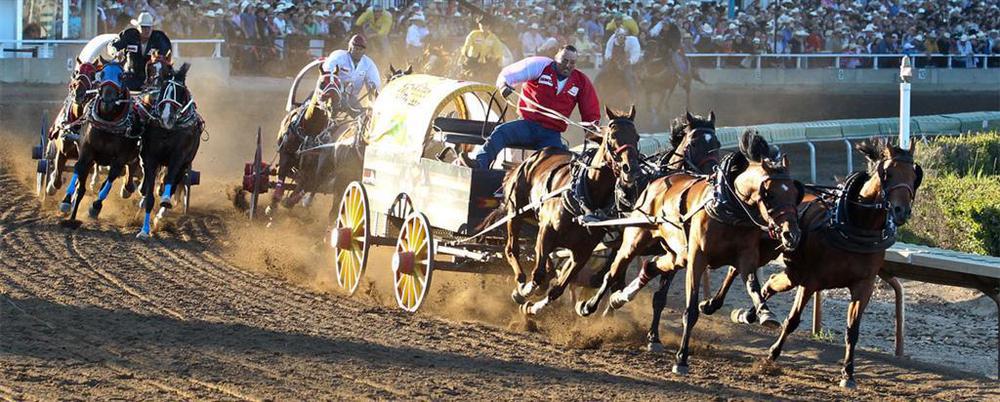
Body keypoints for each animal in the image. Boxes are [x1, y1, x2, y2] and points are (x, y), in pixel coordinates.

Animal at [58, 63, 141, 226]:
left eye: (122, 76)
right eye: (101, 74)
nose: (108, 99)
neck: (107, 124)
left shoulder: (120, 159)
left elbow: (109, 180)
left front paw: (95, 207)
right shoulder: (86, 152)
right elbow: (80, 180)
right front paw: (70, 210)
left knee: (130, 169)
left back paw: (127, 188)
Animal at [136, 62, 202, 239]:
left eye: (180, 91)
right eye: (164, 89)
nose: (166, 117)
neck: (168, 129)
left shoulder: (179, 157)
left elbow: (170, 181)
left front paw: (163, 205)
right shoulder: (151, 156)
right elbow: (150, 196)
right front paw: (144, 230)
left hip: (185, 165)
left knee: (172, 183)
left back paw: (161, 213)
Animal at [498, 106, 644, 314]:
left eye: (636, 136)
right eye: (613, 136)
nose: (631, 169)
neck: (586, 198)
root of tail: (534, 156)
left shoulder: (582, 252)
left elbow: (557, 288)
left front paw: (532, 309)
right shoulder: (547, 232)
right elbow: (538, 275)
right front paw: (524, 292)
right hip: (516, 213)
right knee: (512, 249)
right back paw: (521, 281)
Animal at [584, 130, 804, 374]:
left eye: (795, 193)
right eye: (770, 195)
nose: (792, 234)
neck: (728, 206)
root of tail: (655, 182)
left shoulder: (745, 256)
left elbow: (753, 286)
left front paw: (765, 313)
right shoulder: (697, 260)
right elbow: (690, 311)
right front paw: (681, 358)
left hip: (675, 255)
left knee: (650, 266)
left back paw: (620, 299)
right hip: (635, 241)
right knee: (612, 272)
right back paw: (591, 306)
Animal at [728, 137, 920, 388]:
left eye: (914, 174)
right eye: (887, 172)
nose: (901, 211)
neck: (852, 225)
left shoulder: (863, 284)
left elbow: (852, 329)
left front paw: (848, 374)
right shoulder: (811, 280)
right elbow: (793, 320)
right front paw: (772, 354)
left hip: (792, 272)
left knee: (770, 283)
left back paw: (752, 314)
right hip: (781, 263)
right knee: (741, 270)